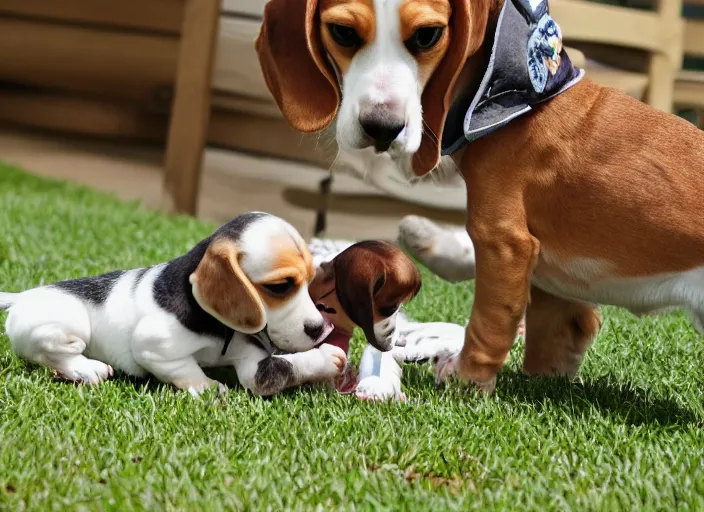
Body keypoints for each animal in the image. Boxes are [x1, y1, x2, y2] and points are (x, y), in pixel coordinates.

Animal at [0, 212, 346, 396]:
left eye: (312, 281)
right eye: (280, 286)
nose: (321, 329)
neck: (218, 327)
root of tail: (23, 295)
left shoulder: (253, 365)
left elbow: (289, 365)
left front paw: (325, 359)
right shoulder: (154, 348)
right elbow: (186, 369)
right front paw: (208, 386)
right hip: (70, 327)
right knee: (52, 354)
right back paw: (86, 368)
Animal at [256, 0, 704, 396]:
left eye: (427, 36)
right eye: (343, 33)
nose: (382, 128)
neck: (526, 103)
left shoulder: (505, 242)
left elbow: (489, 321)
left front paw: (467, 376)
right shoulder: (549, 279)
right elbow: (556, 335)